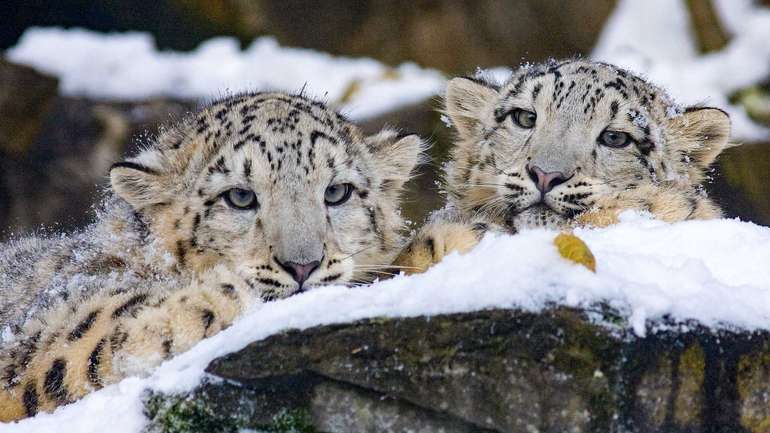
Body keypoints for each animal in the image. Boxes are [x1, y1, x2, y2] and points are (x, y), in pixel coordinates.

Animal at [0, 91, 424, 418]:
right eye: (240, 196)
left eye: (337, 192)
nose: (302, 265)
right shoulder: (27, 340)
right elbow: (79, 338)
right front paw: (212, 295)